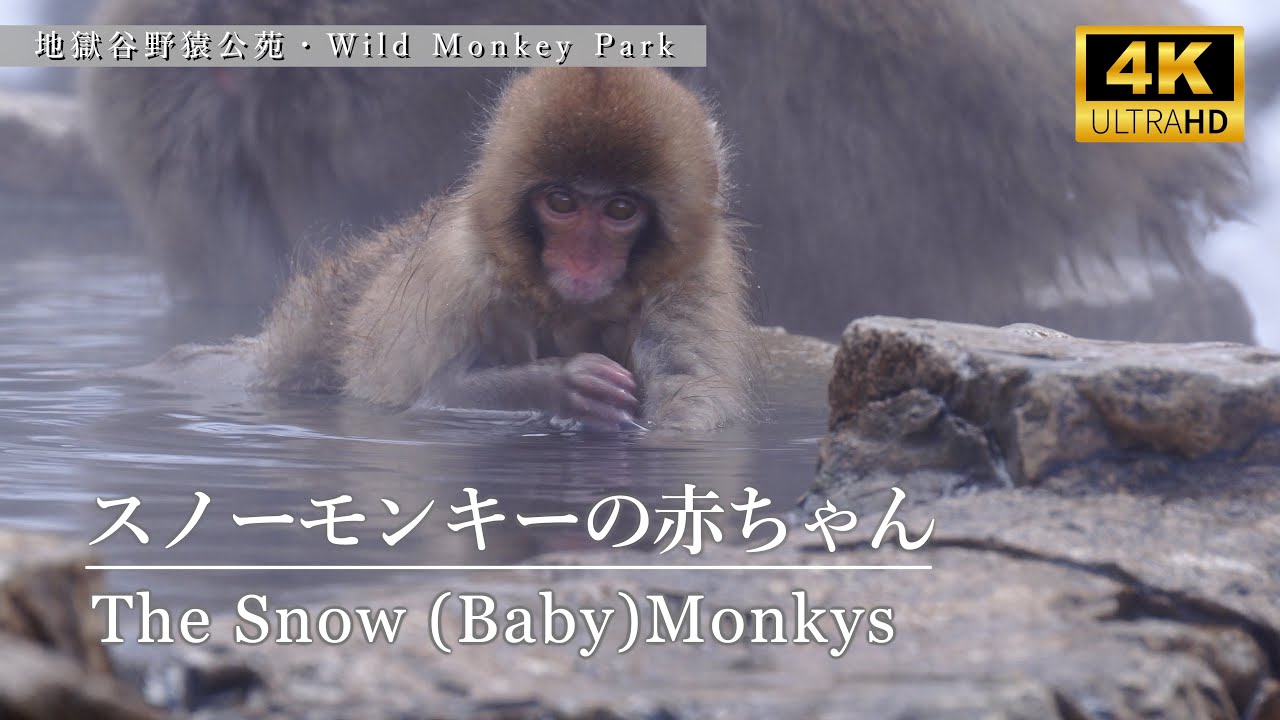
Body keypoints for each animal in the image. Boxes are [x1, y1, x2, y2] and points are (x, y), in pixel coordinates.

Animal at [254, 67, 755, 432]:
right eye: (562, 202)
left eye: (620, 209)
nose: (584, 260)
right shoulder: (464, 274)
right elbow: (436, 397)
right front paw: (564, 385)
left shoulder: (691, 280)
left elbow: (689, 394)